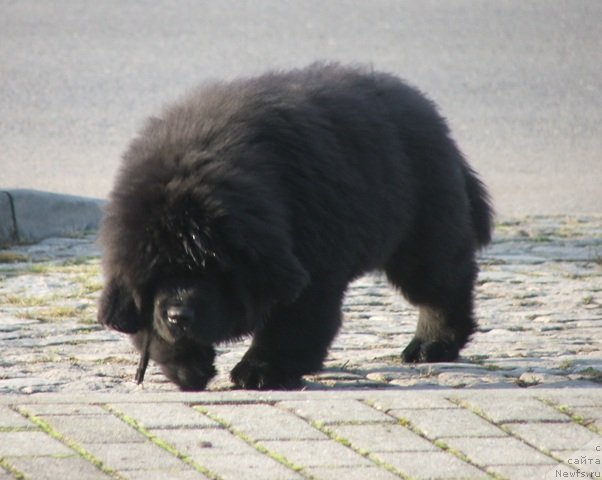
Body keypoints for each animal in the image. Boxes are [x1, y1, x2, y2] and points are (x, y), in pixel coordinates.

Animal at [97, 62, 492, 390]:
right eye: (156, 274)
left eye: (210, 268)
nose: (179, 315)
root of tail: (426, 109)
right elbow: (152, 328)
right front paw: (187, 367)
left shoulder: (311, 269)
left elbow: (290, 326)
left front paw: (260, 371)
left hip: (421, 239)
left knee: (445, 286)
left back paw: (431, 344)